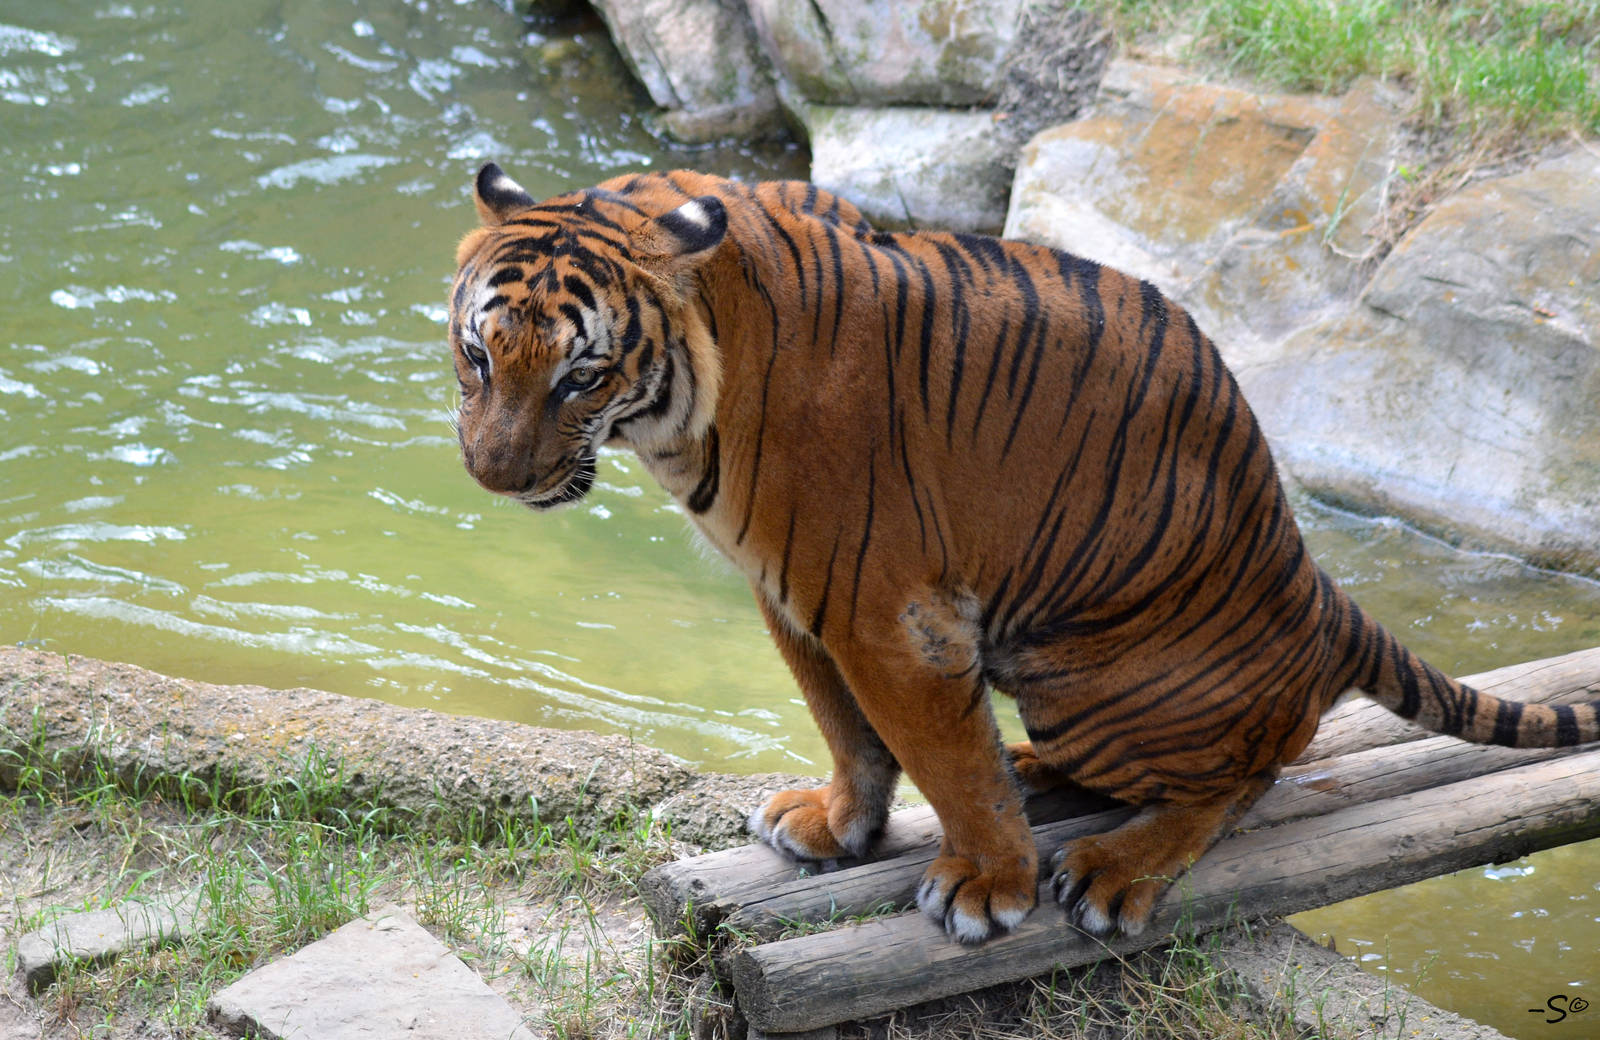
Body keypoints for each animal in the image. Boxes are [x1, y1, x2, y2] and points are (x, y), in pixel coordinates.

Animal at [447, 161, 1600, 944]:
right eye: (478, 354)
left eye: (582, 375)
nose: (494, 476)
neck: (693, 401)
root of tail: (1319, 593)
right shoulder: (795, 598)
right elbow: (851, 732)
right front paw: (835, 825)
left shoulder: (888, 616)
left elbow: (950, 763)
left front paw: (985, 887)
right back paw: (1041, 771)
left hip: (1090, 676)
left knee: (1253, 770)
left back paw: (1113, 867)